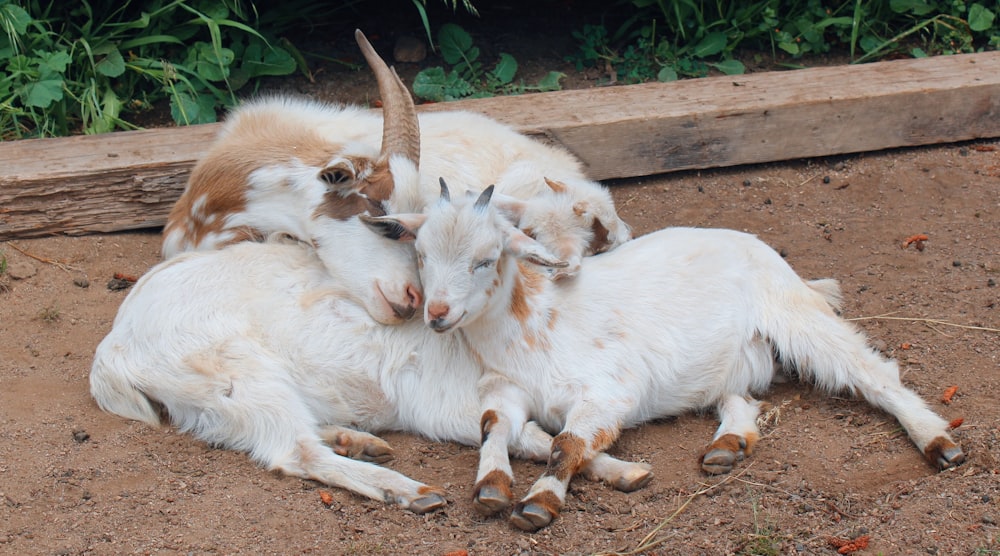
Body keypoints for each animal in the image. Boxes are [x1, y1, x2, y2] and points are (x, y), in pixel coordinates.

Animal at [92, 239, 648, 512]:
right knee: (295, 452)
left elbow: (552, 436)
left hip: (216, 404)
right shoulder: (447, 402)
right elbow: (530, 435)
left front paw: (621, 471)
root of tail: (115, 347)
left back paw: (356, 440)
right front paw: (618, 468)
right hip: (240, 376)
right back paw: (408, 491)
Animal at [368, 181, 968, 528]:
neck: (532, 325)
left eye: (486, 259)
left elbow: (567, 442)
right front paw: (492, 486)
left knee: (873, 372)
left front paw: (539, 502)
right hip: (732, 361)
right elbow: (495, 426)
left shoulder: (610, 388)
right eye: (421, 254)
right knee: (740, 397)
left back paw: (940, 443)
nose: (437, 313)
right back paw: (727, 445)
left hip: (794, 313)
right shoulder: (504, 387)